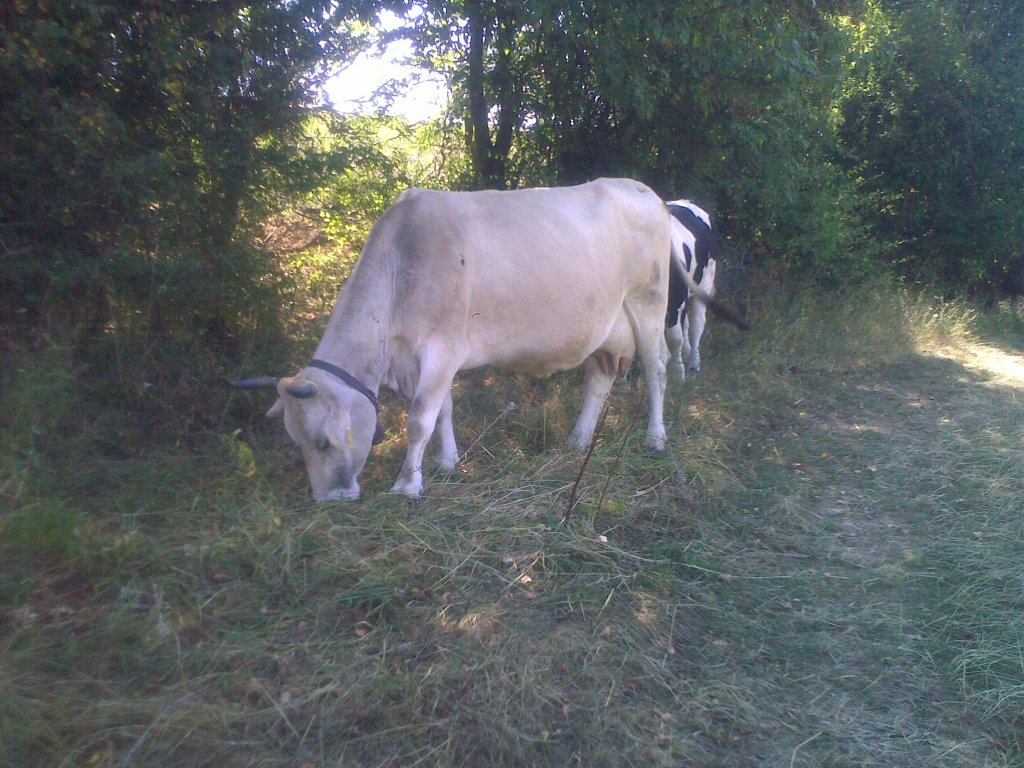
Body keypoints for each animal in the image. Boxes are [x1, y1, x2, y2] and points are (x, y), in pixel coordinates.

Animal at [228, 181, 684, 505]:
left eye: (323, 441)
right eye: (296, 442)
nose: (329, 500)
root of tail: (643, 189)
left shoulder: (442, 347)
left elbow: (419, 419)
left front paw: (407, 484)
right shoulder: (424, 358)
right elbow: (442, 409)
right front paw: (447, 462)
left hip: (648, 304)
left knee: (657, 369)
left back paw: (656, 437)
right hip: (605, 328)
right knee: (599, 378)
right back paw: (578, 439)